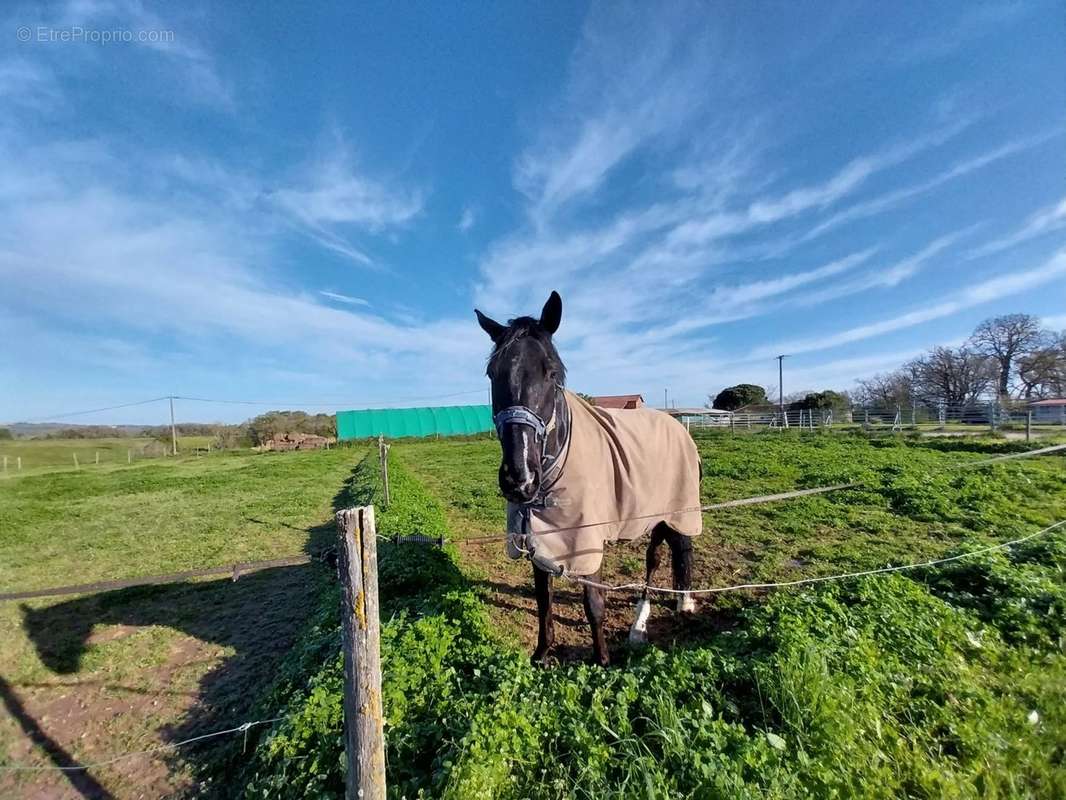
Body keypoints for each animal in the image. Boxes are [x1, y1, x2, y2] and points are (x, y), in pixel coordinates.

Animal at [477, 292, 699, 665]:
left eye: (552, 373)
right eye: (493, 374)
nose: (519, 479)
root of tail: (676, 425)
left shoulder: (588, 539)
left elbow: (593, 602)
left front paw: (602, 660)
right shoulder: (538, 536)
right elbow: (544, 598)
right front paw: (542, 654)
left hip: (677, 510)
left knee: (675, 551)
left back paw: (669, 609)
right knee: (658, 555)